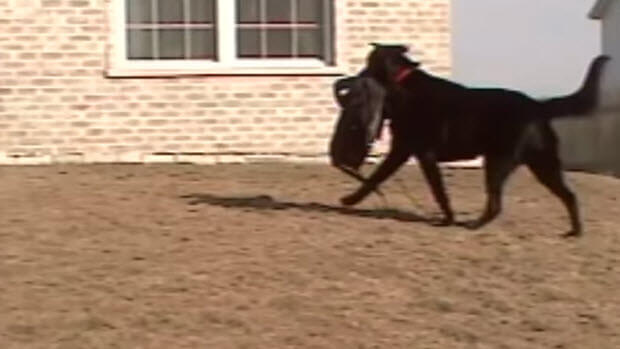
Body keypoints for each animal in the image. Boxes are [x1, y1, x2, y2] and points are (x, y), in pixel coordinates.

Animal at [332, 42, 608, 235]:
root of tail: (537, 105)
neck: (403, 85)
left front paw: (448, 218)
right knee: (569, 195)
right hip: (542, 164)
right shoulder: (405, 151)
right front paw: (351, 199)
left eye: (369, 63)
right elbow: (380, 178)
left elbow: (434, 189)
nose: (355, 76)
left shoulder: (417, 152)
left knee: (496, 203)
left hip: (499, 161)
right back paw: (575, 231)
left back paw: (474, 224)